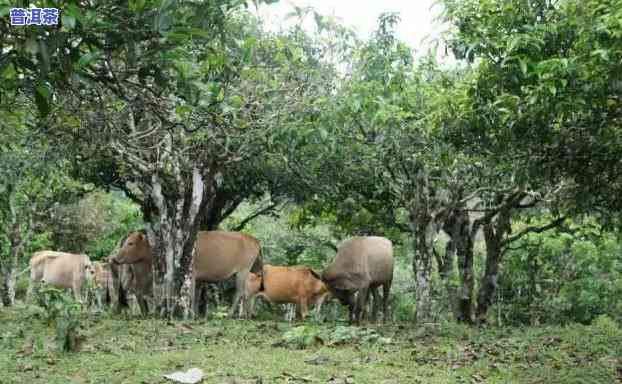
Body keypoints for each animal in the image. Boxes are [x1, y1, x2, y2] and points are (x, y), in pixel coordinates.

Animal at [109, 231, 264, 318]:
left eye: (130, 243)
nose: (115, 258)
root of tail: (256, 240)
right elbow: (191, 295)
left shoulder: (191, 274)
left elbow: (187, 295)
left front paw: (188, 314)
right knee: (247, 293)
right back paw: (247, 315)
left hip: (242, 271)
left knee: (240, 292)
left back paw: (234, 314)